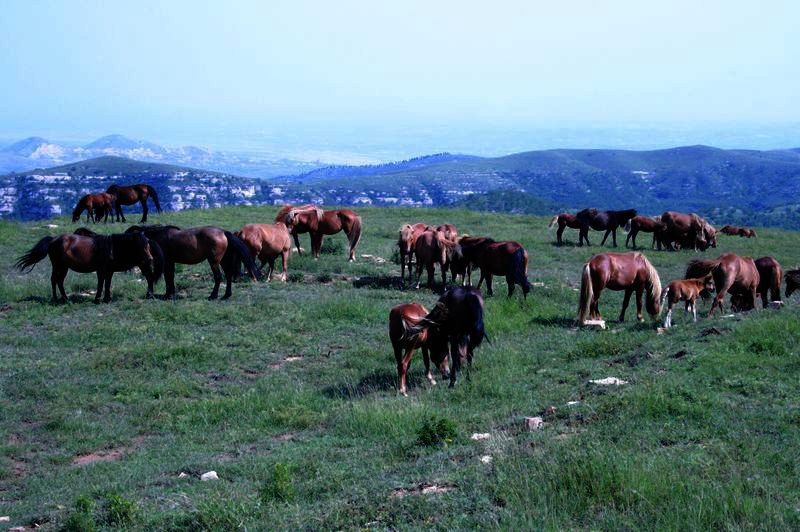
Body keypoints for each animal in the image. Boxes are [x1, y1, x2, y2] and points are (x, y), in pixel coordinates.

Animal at [126, 223, 260, 300]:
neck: (158, 237)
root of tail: (223, 232)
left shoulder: (168, 262)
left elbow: (168, 277)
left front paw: (168, 294)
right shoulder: (171, 262)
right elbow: (171, 277)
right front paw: (171, 293)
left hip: (213, 262)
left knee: (218, 277)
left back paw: (213, 296)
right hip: (223, 261)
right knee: (228, 276)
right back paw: (226, 295)